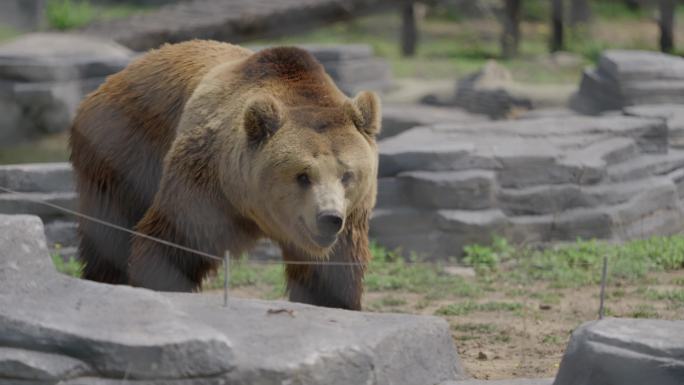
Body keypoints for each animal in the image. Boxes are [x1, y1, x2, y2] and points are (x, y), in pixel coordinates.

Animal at [71, 39, 382, 308]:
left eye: (347, 175)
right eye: (303, 175)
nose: (329, 218)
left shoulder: (350, 219)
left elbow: (334, 271)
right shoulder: (206, 177)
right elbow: (172, 239)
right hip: (121, 147)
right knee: (109, 231)